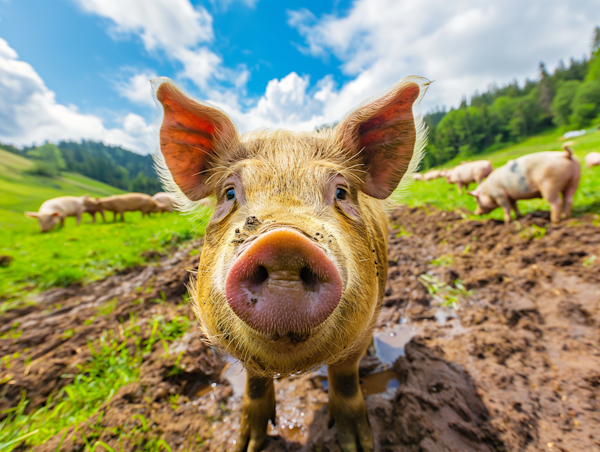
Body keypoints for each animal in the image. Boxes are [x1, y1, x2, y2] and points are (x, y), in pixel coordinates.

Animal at [152, 75, 428, 452]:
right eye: (229, 193)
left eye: (341, 192)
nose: (283, 243)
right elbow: (254, 383)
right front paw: (247, 444)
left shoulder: (366, 320)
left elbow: (345, 377)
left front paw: (357, 445)